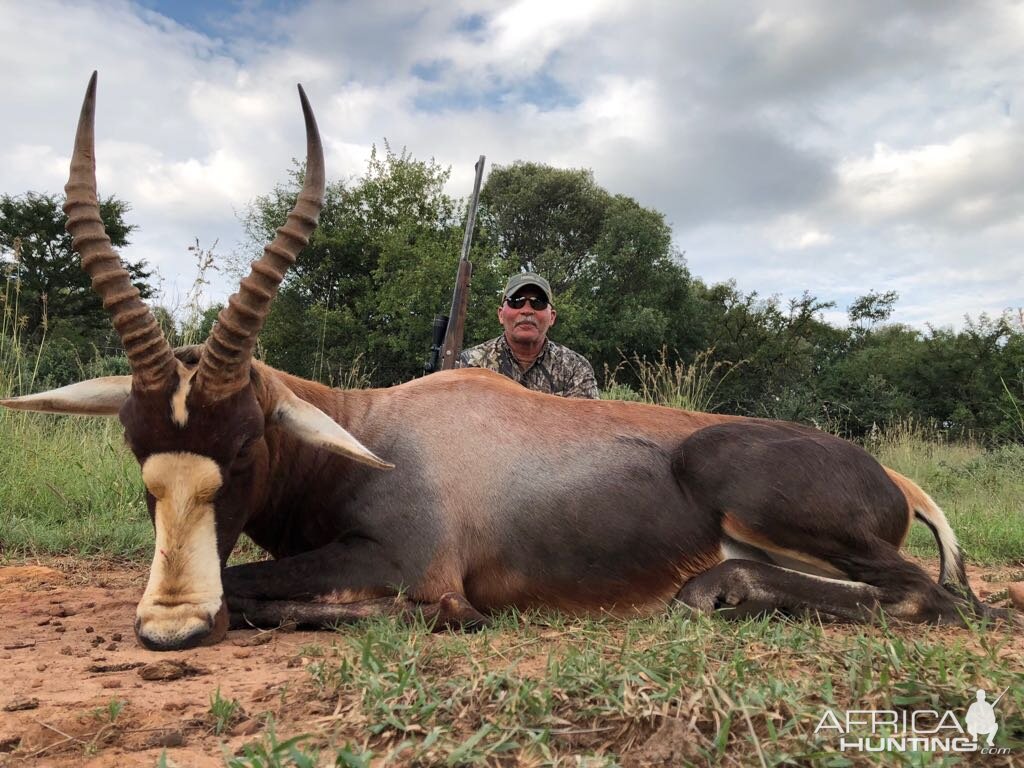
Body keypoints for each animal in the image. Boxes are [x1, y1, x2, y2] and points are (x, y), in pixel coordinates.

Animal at [2, 72, 1007, 651]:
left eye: (246, 446)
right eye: (137, 451)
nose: (170, 629)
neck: (375, 429)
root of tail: (894, 479)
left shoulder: (406, 557)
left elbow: (265, 589)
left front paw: (442, 616)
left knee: (926, 597)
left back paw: (715, 590)